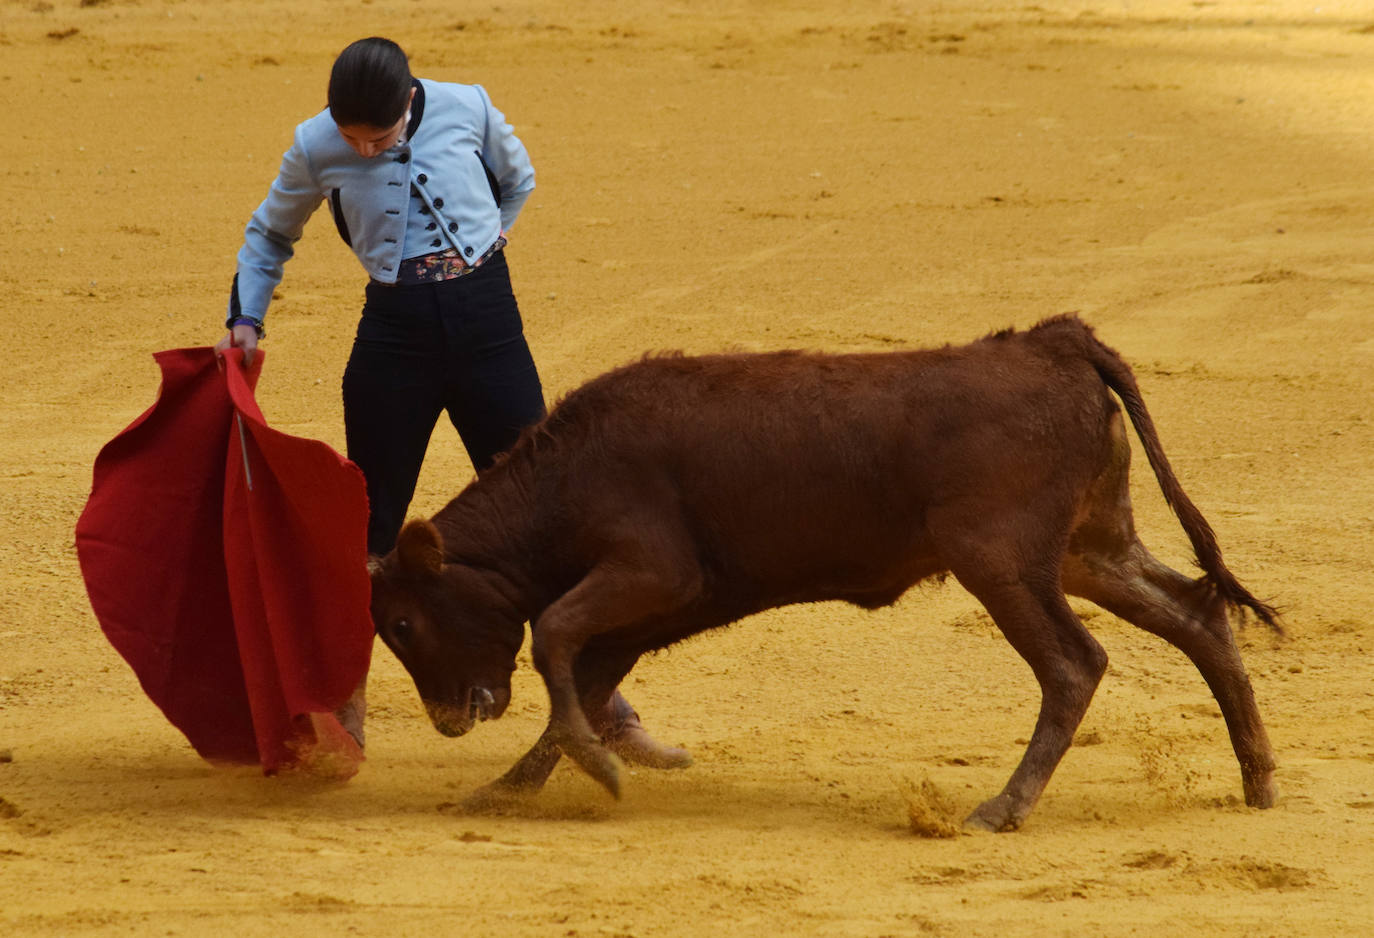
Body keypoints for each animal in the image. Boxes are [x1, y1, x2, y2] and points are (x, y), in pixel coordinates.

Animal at [368, 317, 1275, 834]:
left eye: (404, 624)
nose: (448, 720)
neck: (563, 476)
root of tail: (1054, 343)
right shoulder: (643, 614)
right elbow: (579, 688)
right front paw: (505, 791)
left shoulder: (649, 573)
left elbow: (554, 639)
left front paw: (593, 771)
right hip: (1088, 550)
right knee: (1197, 617)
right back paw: (1259, 778)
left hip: (1000, 561)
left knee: (1073, 664)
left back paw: (1002, 809)